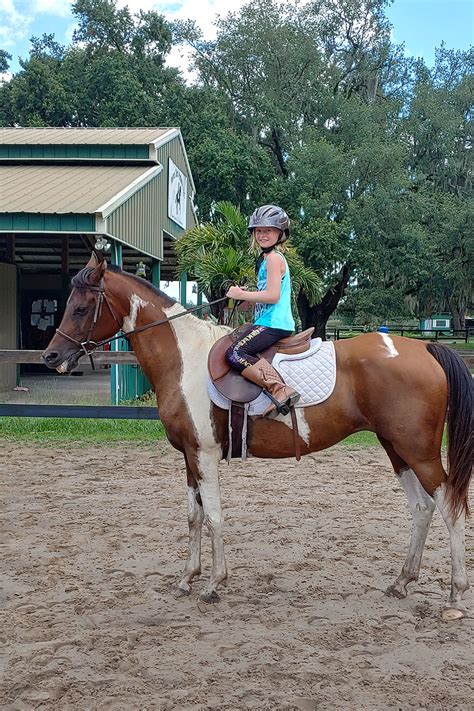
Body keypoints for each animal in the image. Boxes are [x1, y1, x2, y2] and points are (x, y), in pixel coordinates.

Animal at [42, 256, 472, 616]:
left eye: (80, 307)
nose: (50, 357)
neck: (184, 359)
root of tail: (425, 349)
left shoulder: (205, 455)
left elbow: (214, 516)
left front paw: (214, 584)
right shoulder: (189, 456)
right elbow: (193, 515)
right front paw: (187, 578)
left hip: (418, 452)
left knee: (448, 507)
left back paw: (454, 597)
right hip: (397, 449)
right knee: (421, 509)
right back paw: (402, 582)